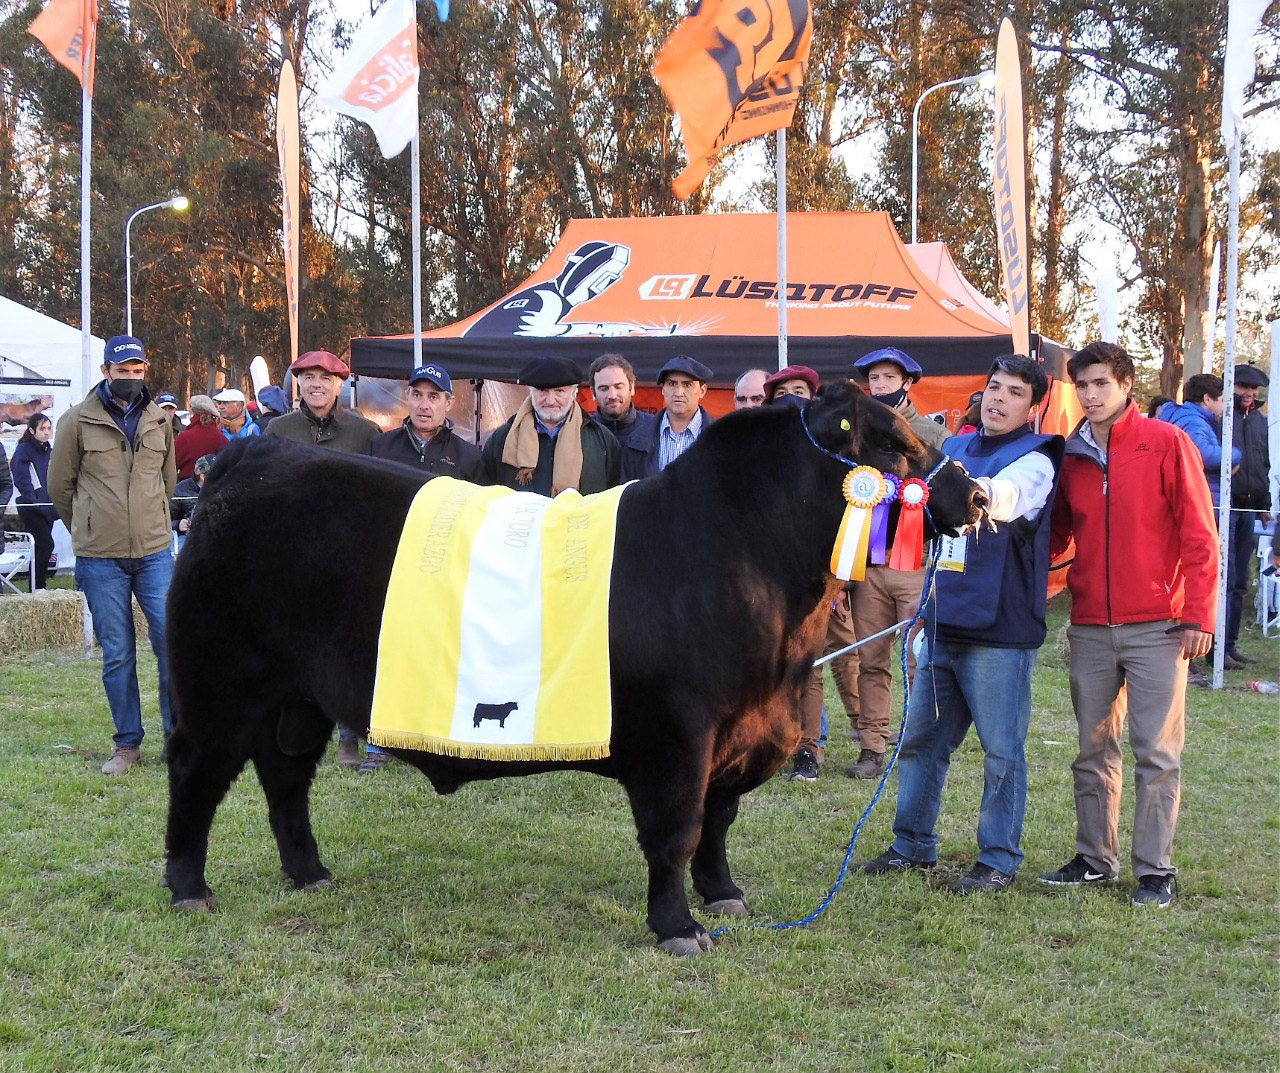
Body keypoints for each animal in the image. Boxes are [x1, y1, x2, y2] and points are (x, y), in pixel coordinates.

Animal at [160, 384, 977, 957]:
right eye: (897, 447)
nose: (974, 495)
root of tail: (249, 458)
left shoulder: (744, 732)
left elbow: (719, 822)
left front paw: (724, 895)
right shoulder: (680, 738)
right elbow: (678, 830)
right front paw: (677, 925)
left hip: (297, 700)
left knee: (285, 778)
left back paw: (310, 872)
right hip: (219, 686)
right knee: (198, 774)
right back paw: (188, 886)